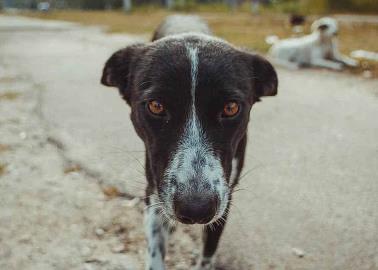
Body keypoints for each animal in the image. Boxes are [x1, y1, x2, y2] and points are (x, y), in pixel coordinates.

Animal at [100, 14, 278, 270]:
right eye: (156, 106)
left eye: (231, 107)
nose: (196, 210)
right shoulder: (154, 187)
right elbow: (155, 248)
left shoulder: (226, 197)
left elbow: (208, 251)